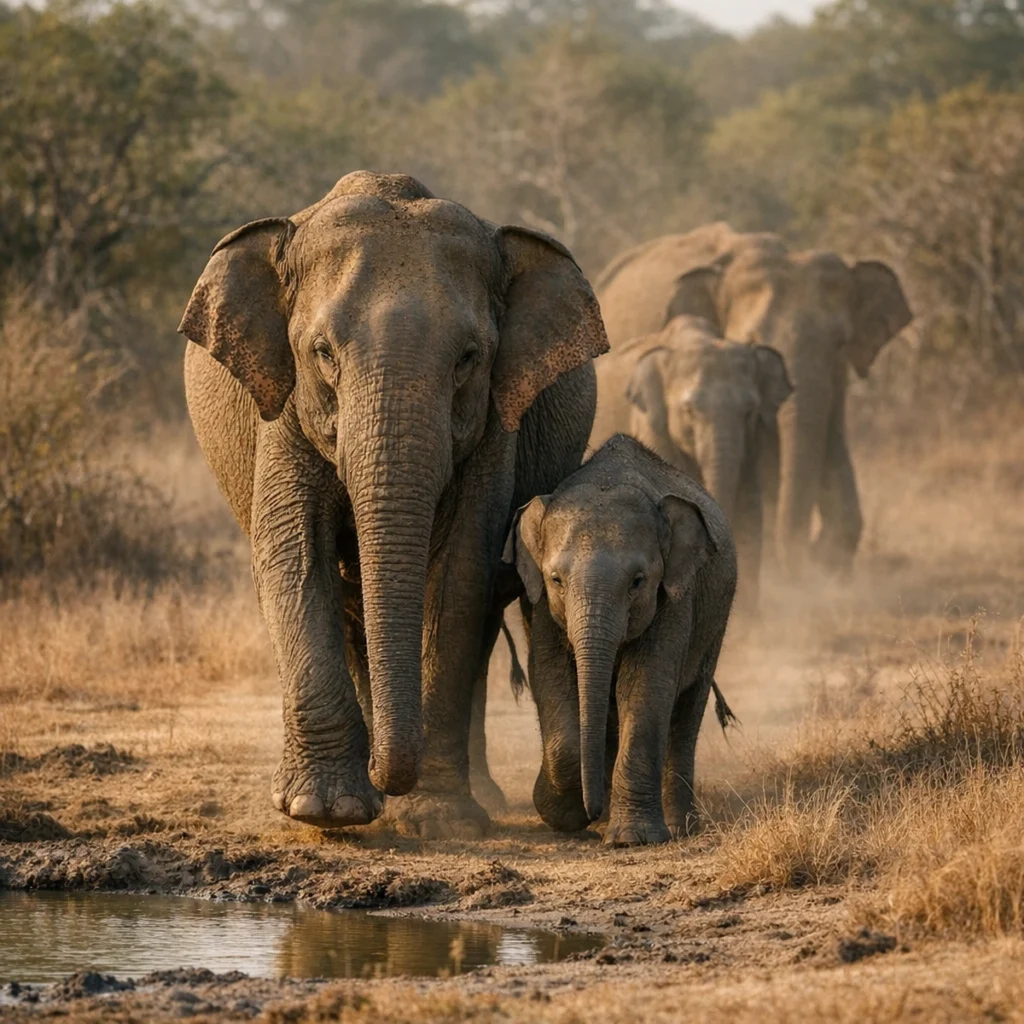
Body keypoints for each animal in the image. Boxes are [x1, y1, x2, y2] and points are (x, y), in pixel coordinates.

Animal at [179, 171, 608, 836]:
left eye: (468, 359)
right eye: (322, 353)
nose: (386, 776)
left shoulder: (496, 422)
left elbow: (461, 569)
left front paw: (436, 820)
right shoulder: (282, 403)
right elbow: (292, 552)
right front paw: (326, 812)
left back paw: (474, 797)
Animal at [503, 434, 737, 845]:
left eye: (638, 581)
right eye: (556, 580)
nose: (593, 810)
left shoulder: (676, 597)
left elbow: (644, 686)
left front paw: (632, 839)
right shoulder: (541, 604)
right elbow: (549, 674)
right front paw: (563, 812)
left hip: (714, 622)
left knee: (687, 712)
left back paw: (678, 827)